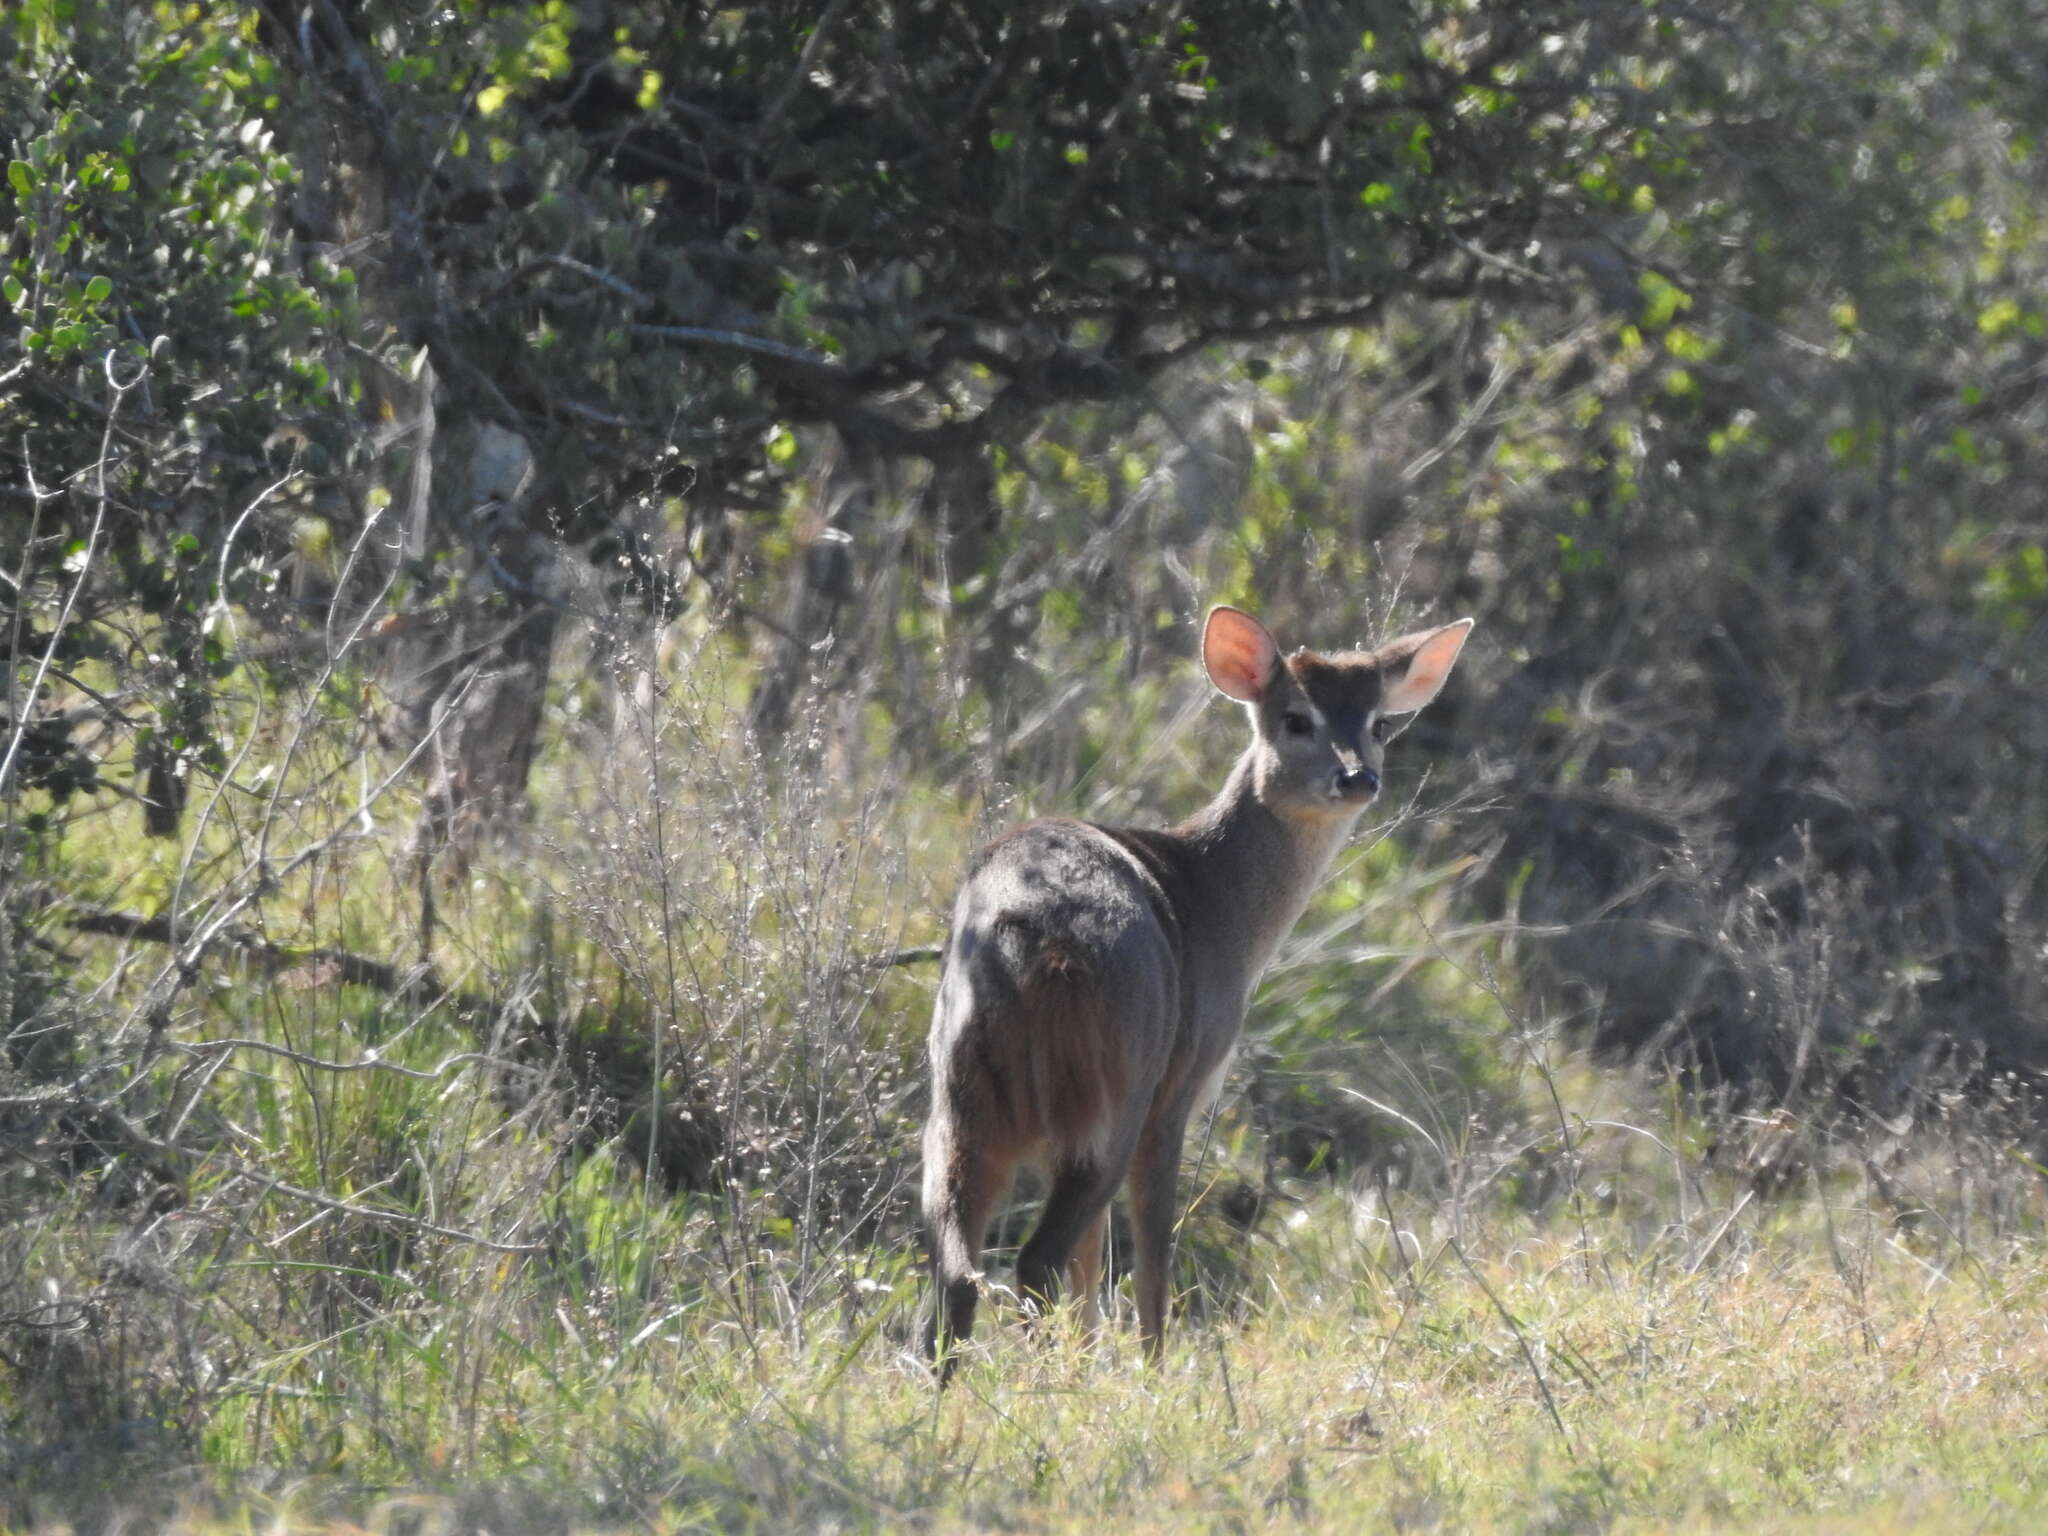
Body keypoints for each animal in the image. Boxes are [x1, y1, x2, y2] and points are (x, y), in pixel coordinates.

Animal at [925, 606, 1474, 1384]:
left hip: (961, 1094)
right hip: (1118, 1086)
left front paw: (1094, 1361)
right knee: (1037, 1258)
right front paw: (1151, 1373)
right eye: (1295, 718)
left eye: (1379, 722)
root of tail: (1033, 942)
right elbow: (1150, 1251)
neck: (1217, 903)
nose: (1358, 777)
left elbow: (1094, 1266)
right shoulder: (1183, 1083)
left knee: (960, 1265)